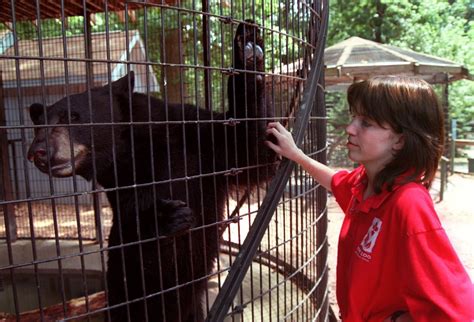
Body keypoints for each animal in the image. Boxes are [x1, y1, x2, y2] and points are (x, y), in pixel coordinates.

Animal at [26, 21, 274, 320]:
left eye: (73, 116)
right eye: (39, 125)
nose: (38, 152)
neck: (135, 150)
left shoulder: (199, 141)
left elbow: (251, 150)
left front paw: (248, 46)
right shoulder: (122, 184)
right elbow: (132, 236)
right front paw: (166, 216)